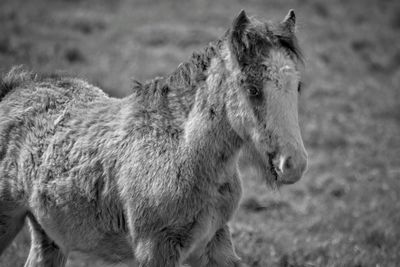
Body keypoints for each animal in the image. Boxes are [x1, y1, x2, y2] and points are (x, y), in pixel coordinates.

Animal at [0, 9, 306, 266]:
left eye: (298, 86)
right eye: (253, 88)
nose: (294, 165)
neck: (183, 152)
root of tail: (15, 89)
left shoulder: (215, 241)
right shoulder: (156, 248)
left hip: (49, 234)